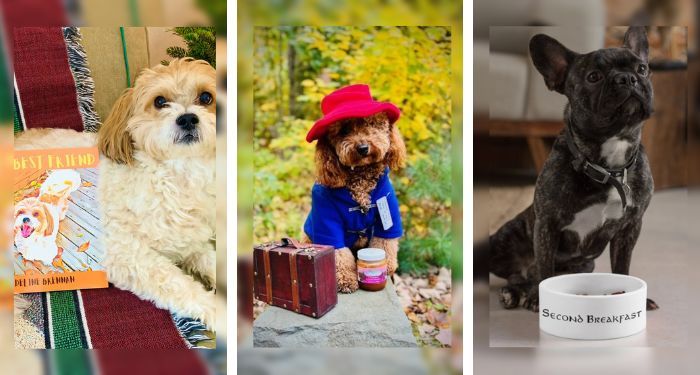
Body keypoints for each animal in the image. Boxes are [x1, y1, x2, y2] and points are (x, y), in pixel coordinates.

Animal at [95, 58, 216, 328]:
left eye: (206, 97)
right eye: (160, 101)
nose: (188, 119)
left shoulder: (191, 244)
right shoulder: (129, 255)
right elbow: (183, 287)